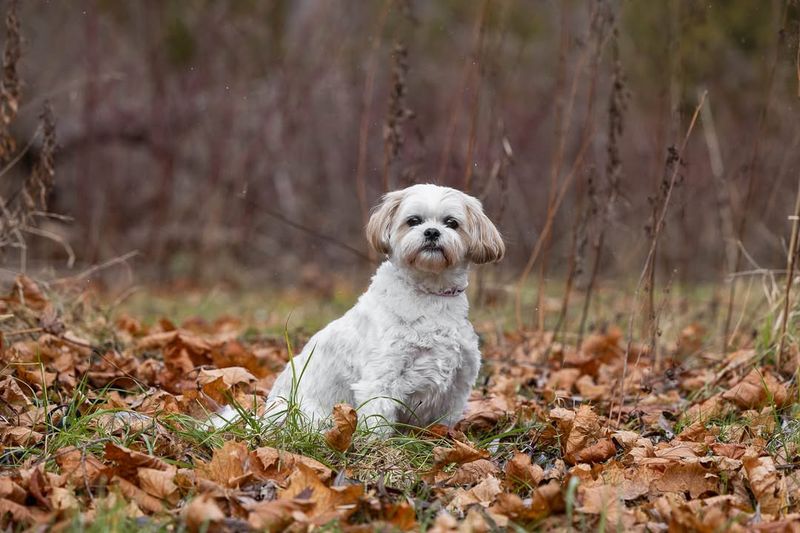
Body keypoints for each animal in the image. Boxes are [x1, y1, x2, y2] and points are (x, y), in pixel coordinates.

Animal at [212, 184, 500, 432]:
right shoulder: (381, 379)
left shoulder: (457, 385)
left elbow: (444, 422)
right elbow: (378, 424)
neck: (429, 295)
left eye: (452, 223)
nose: (431, 232)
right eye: (413, 221)